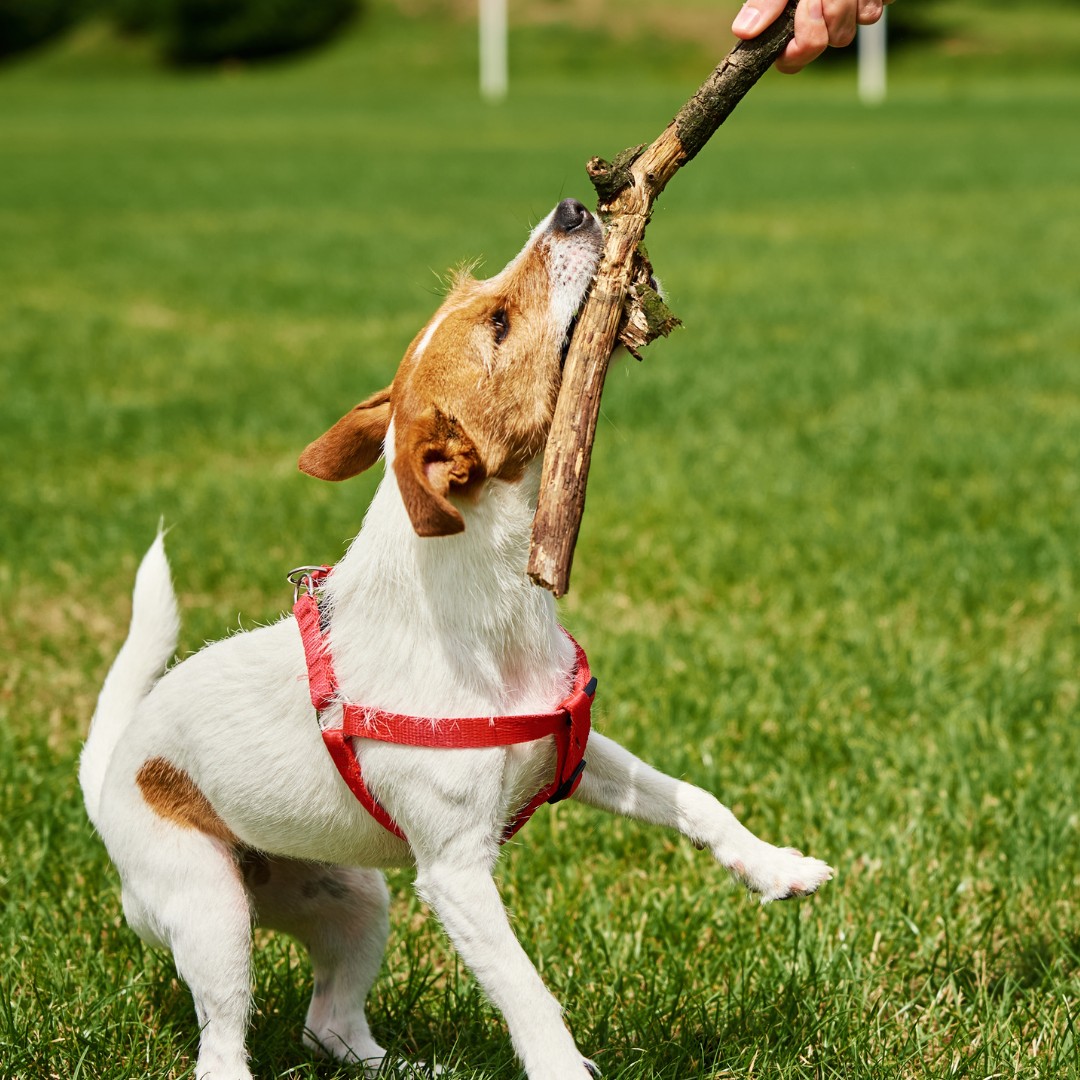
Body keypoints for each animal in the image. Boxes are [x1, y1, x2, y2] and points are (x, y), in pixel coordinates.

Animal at [79, 200, 829, 1080]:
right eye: (499, 323)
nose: (573, 208)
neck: (493, 611)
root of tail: (112, 767)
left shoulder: (574, 749)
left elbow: (695, 800)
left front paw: (776, 867)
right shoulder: (456, 876)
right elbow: (526, 991)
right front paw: (561, 1067)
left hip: (351, 897)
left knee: (329, 1024)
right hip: (210, 910)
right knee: (223, 1041)